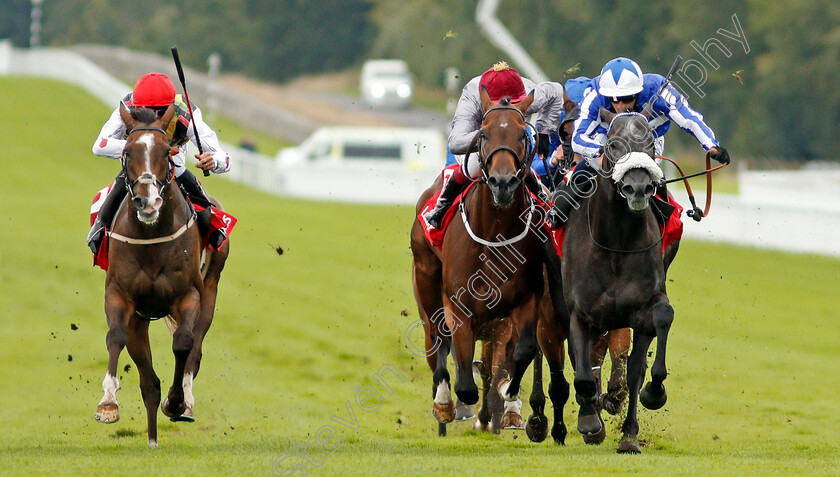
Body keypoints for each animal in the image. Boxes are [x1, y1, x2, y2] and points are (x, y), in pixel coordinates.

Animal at [94, 102, 230, 444]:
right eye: (127, 151)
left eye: (167, 151)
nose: (148, 201)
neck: (151, 237)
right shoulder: (120, 295)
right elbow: (115, 336)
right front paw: (108, 404)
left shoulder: (189, 295)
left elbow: (184, 342)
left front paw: (177, 402)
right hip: (140, 316)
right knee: (148, 381)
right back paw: (152, 436)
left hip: (211, 287)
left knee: (196, 345)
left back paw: (185, 403)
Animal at [412, 89, 544, 436]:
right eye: (483, 133)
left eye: (522, 134)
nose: (502, 182)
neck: (495, 232)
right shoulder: (458, 305)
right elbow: (464, 375)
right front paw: (454, 402)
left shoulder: (525, 301)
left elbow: (521, 352)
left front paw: (509, 398)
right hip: (426, 279)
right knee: (437, 337)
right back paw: (444, 402)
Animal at [556, 109, 676, 454]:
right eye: (612, 144)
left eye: (650, 143)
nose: (638, 188)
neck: (617, 243)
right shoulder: (580, 312)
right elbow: (582, 370)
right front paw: (589, 421)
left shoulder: (644, 308)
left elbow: (643, 361)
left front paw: (651, 397)